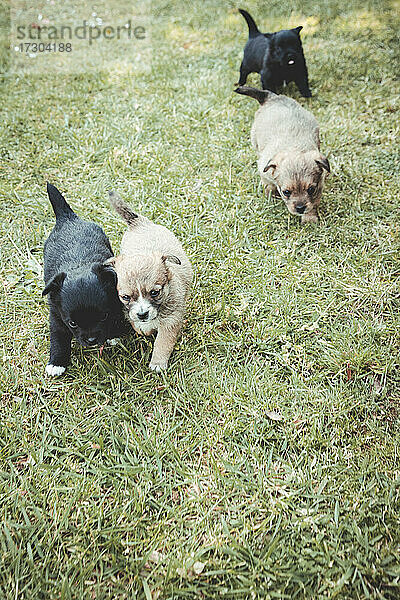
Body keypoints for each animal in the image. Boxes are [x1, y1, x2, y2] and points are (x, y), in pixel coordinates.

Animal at [42, 183, 126, 378]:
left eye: (104, 316)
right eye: (72, 323)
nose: (92, 340)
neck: (79, 266)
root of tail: (68, 217)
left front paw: (114, 334)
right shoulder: (56, 316)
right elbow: (58, 337)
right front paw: (56, 362)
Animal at [106, 191, 194, 370]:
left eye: (154, 293)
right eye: (125, 297)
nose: (142, 314)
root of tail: (138, 222)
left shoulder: (170, 322)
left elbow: (162, 343)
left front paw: (158, 364)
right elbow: (140, 327)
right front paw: (146, 329)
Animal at [234, 86, 332, 223]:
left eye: (311, 190)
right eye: (286, 192)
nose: (300, 208)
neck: (293, 147)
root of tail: (273, 97)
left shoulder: (319, 186)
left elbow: (313, 204)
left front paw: (309, 219)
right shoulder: (265, 173)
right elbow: (269, 186)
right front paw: (272, 198)